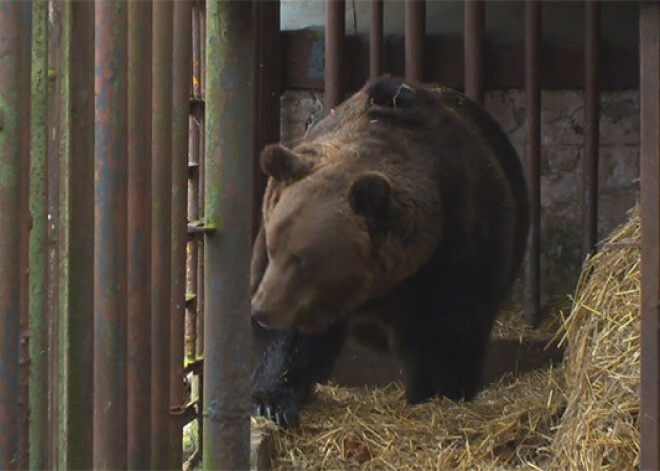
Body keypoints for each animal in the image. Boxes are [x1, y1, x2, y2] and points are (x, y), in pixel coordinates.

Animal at [250, 76, 528, 428]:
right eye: (274, 247)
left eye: (304, 260)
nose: (260, 309)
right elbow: (289, 342)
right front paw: (270, 403)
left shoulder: (459, 244)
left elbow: (450, 332)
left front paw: (443, 394)